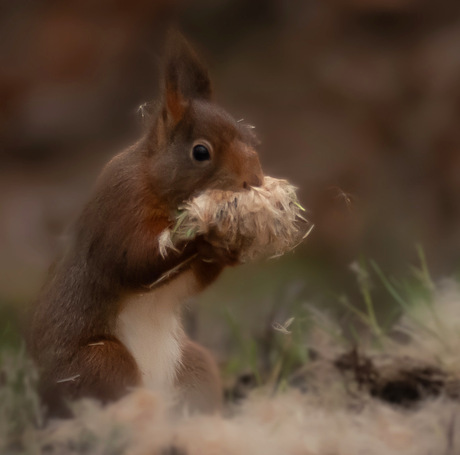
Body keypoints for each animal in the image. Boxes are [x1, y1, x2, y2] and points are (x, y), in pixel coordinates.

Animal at [29, 34, 262, 416]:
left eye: (250, 138)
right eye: (201, 152)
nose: (253, 181)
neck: (154, 184)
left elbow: (195, 279)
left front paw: (227, 248)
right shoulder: (119, 210)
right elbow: (133, 262)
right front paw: (202, 235)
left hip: (193, 364)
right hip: (99, 362)